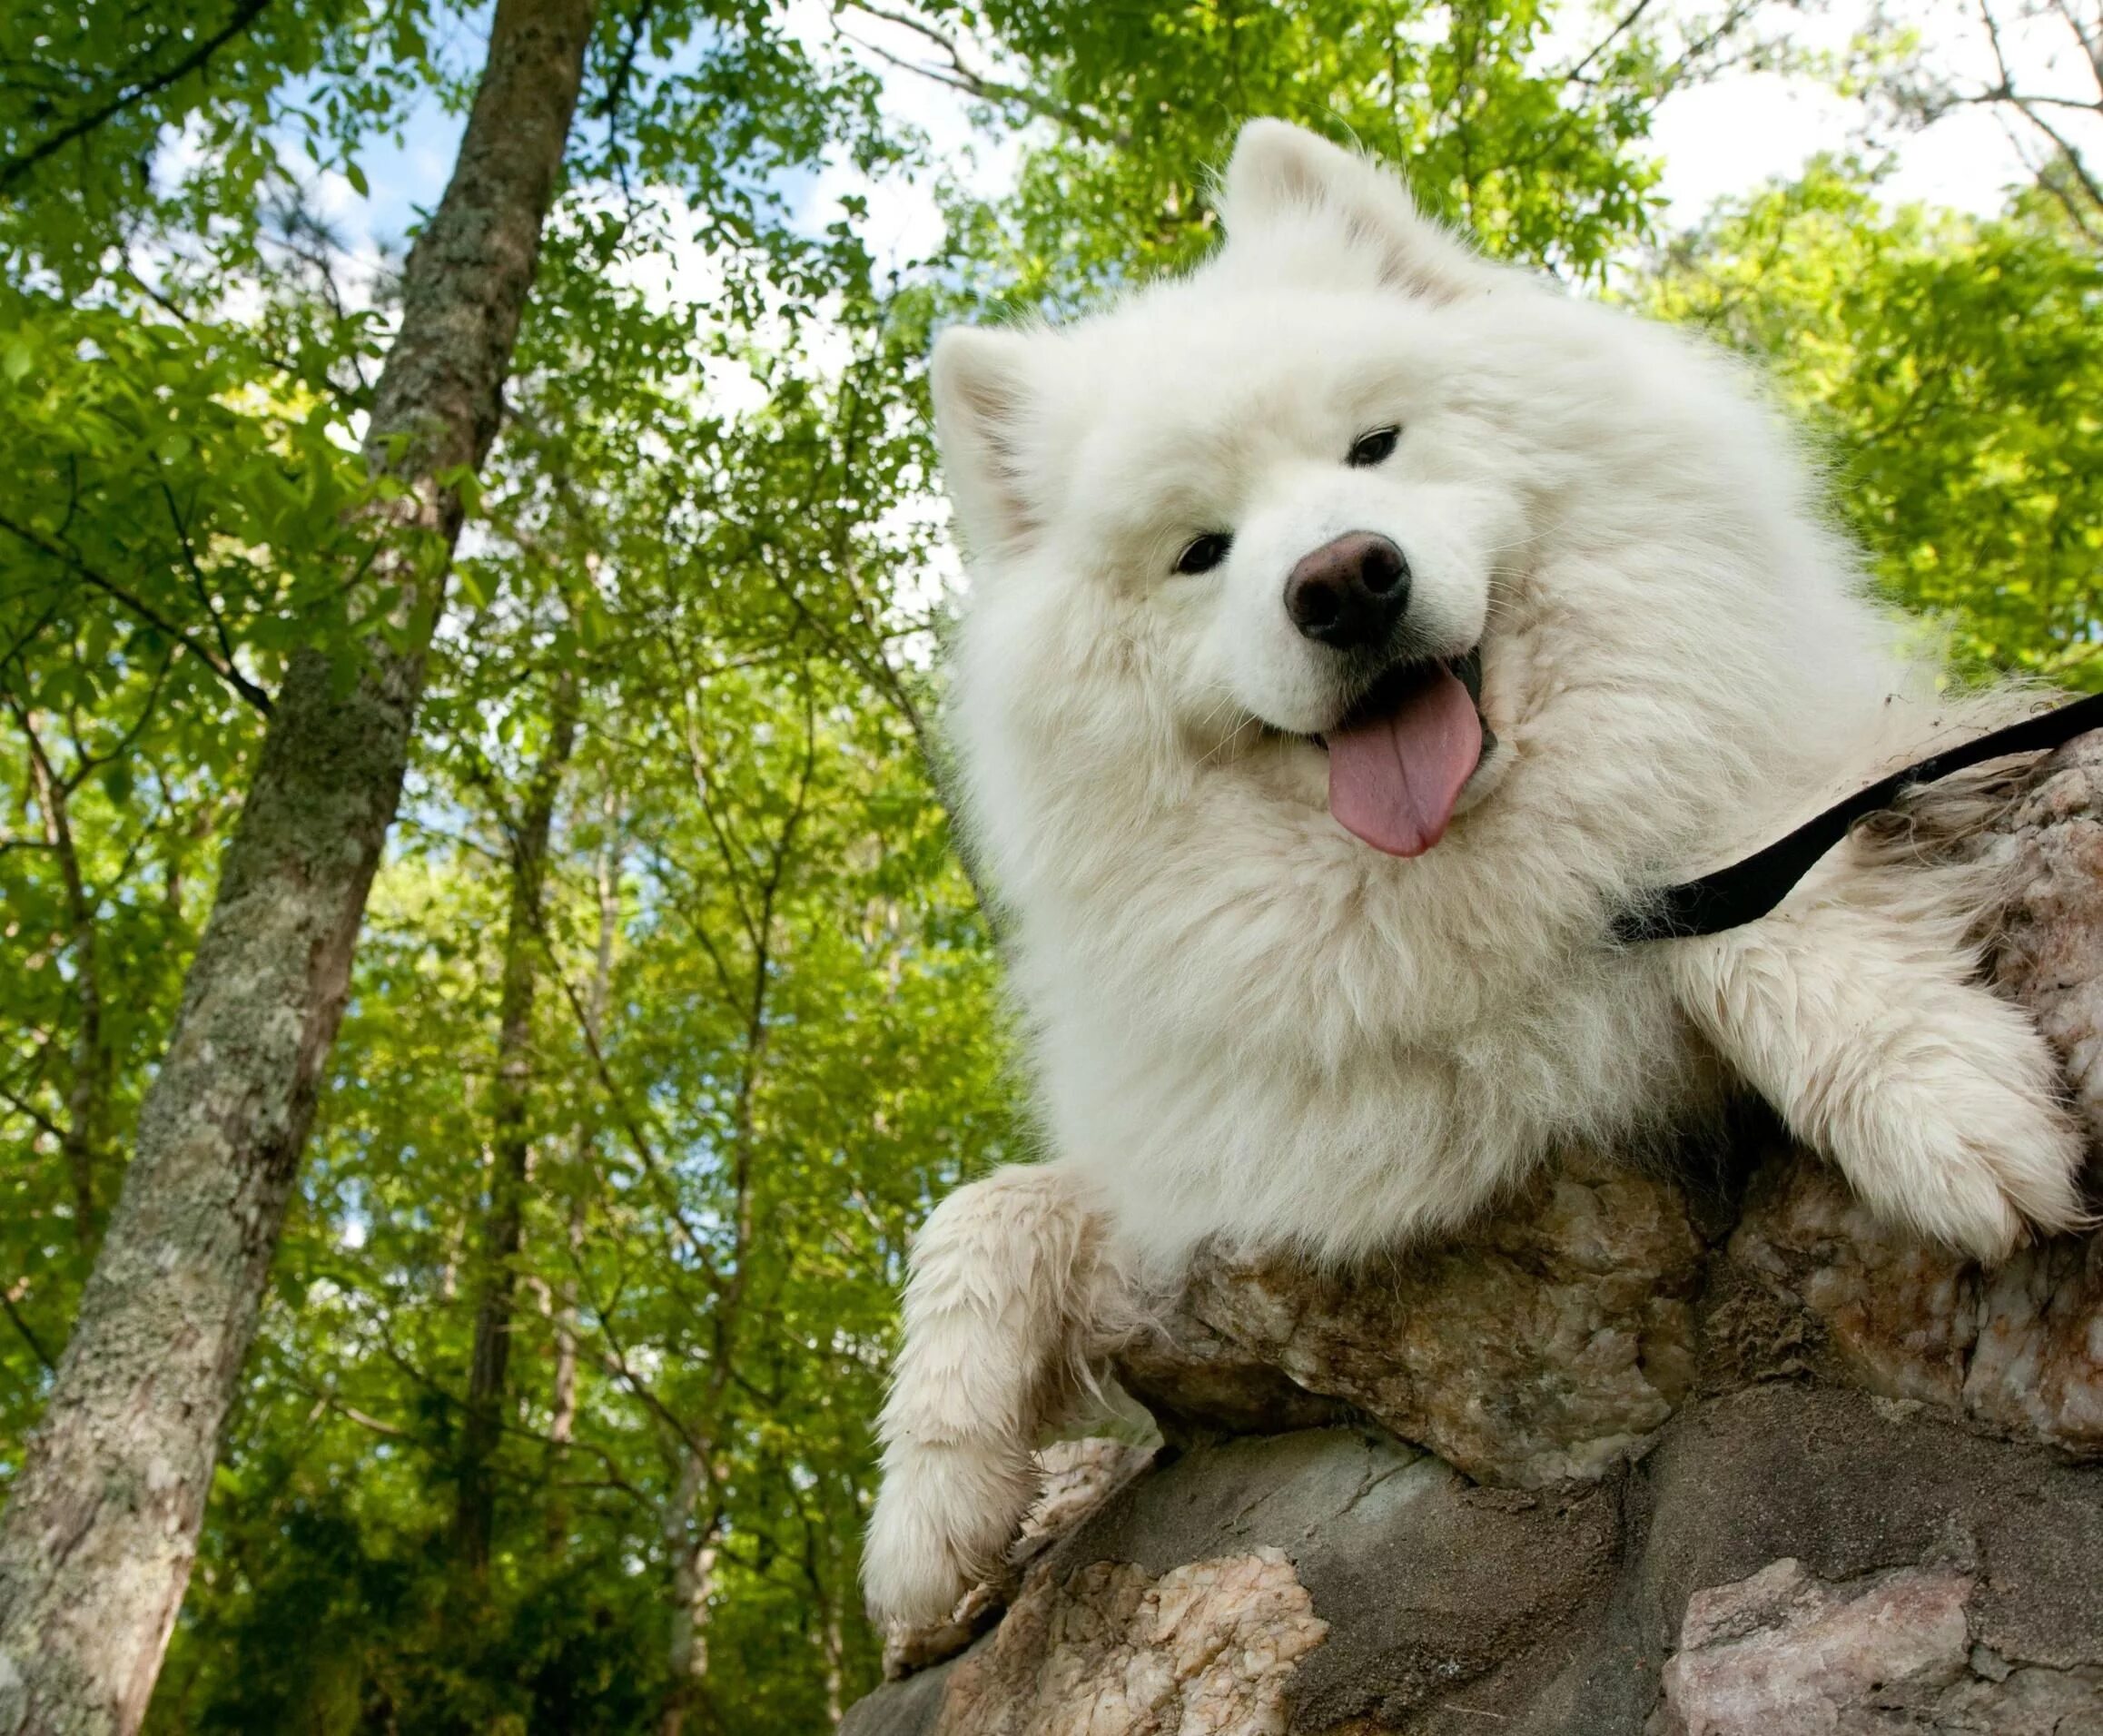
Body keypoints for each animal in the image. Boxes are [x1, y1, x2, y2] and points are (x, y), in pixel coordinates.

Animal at [862, 118, 2094, 1623]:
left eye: (1374, 446)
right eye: (1200, 551)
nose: (1342, 579)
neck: (1465, 899)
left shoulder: (1843, 766)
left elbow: (1744, 886)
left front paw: (1936, 1099)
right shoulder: (1260, 1170)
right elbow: (982, 1209)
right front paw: (930, 1511)